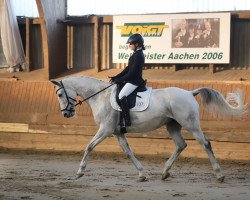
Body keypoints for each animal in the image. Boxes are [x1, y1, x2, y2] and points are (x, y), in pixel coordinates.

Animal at [51, 76, 246, 182]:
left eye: (60, 94)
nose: (66, 114)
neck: (100, 96)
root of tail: (190, 93)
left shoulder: (105, 129)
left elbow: (89, 146)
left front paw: (80, 172)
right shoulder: (117, 133)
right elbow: (128, 152)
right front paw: (142, 174)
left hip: (191, 124)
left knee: (205, 144)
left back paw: (219, 175)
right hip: (172, 125)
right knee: (181, 145)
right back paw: (165, 172)